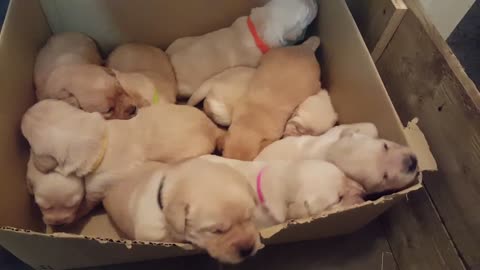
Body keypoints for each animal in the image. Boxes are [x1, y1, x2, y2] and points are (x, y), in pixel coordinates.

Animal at [21, 99, 224, 224]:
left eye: (27, 136)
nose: (24, 113)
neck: (101, 140)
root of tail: (212, 129)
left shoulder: (98, 186)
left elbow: (86, 203)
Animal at [256, 122, 418, 194]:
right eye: (384, 177)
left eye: (385, 146)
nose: (412, 163)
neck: (329, 151)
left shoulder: (336, 132)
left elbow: (370, 127)